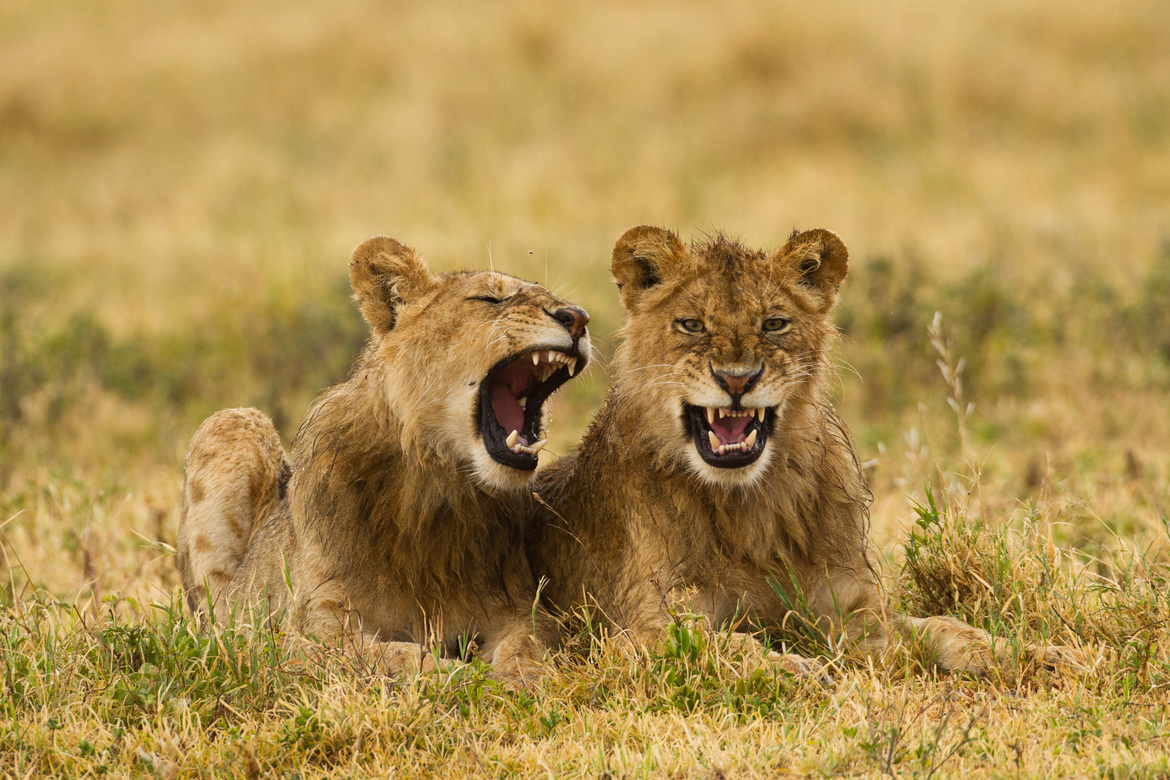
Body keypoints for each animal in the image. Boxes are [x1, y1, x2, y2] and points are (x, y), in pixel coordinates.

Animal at [177, 235, 591, 688]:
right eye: (490, 299)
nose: (578, 318)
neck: (437, 483)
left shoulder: (520, 606)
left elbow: (527, 645)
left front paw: (525, 678)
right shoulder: (312, 628)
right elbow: (397, 658)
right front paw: (466, 678)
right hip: (232, 422)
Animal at [527, 225, 1033, 675]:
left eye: (773, 324)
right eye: (692, 324)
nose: (736, 380)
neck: (747, 506)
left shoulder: (853, 611)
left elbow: (939, 626)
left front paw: (1019, 653)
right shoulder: (635, 628)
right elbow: (717, 643)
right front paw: (793, 667)